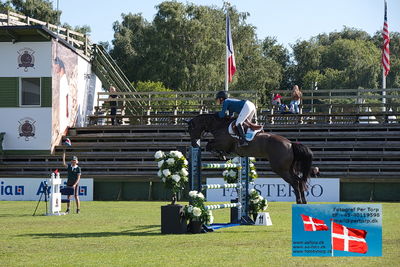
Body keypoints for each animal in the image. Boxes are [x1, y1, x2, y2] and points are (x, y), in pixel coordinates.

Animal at [186, 113, 314, 205]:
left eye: (190, 129)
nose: (194, 144)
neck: (219, 126)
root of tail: (290, 144)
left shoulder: (222, 143)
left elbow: (209, 145)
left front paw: (219, 154)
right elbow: (210, 145)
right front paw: (220, 154)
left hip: (280, 169)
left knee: (295, 182)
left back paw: (299, 201)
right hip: (288, 168)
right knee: (299, 180)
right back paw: (304, 201)